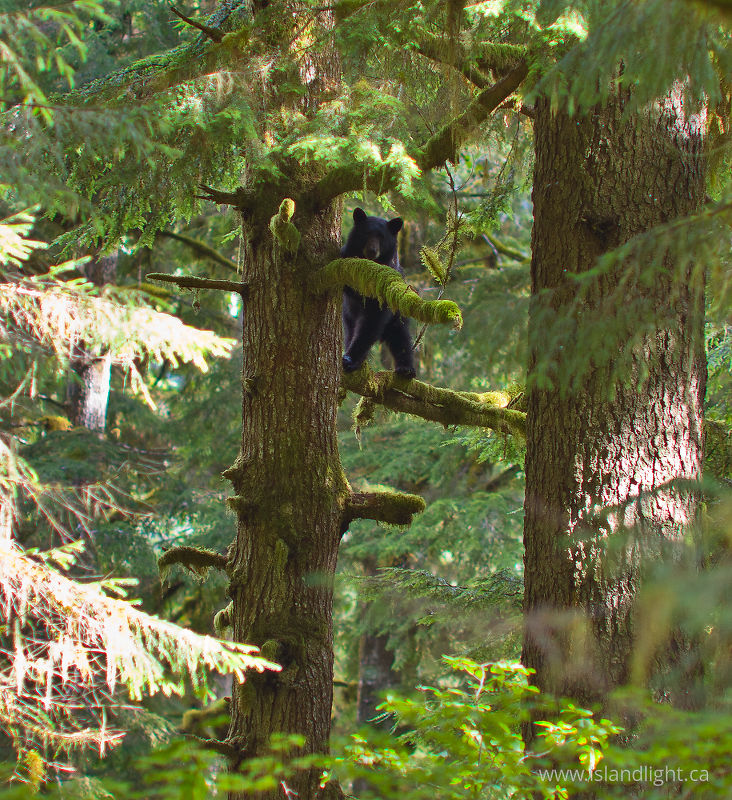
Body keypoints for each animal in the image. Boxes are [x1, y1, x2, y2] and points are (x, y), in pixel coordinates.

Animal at [341, 208, 416, 379]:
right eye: (366, 233)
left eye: (382, 237)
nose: (372, 250)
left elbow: (372, 322)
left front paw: (351, 359)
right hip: (348, 315)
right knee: (350, 331)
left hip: (397, 316)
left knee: (400, 337)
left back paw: (406, 368)